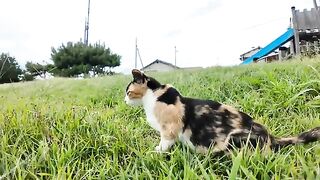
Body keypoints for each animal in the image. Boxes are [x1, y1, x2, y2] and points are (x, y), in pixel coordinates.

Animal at [124, 69, 320, 153]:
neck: (153, 97)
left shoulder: (169, 128)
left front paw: (157, 151)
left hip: (234, 139)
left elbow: (164, 142)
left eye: (128, 92)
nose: (124, 101)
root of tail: (272, 138)